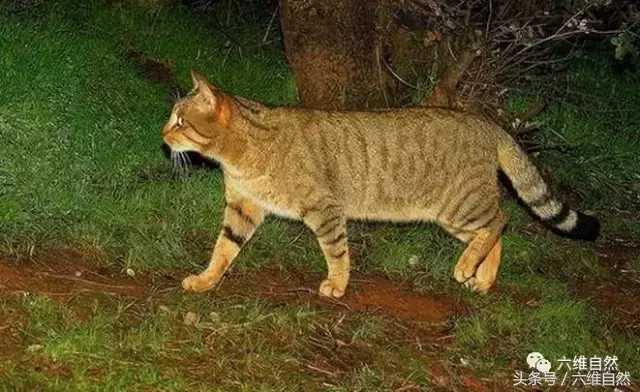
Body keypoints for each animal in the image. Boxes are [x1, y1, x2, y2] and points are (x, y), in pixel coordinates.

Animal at [161, 71, 600, 298]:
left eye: (180, 121)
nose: (162, 136)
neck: (239, 154)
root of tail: (487, 123)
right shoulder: (243, 208)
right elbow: (222, 250)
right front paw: (206, 279)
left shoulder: (325, 210)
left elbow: (337, 253)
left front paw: (338, 285)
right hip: (455, 218)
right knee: (496, 233)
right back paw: (482, 278)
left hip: (460, 206)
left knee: (500, 221)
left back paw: (466, 267)